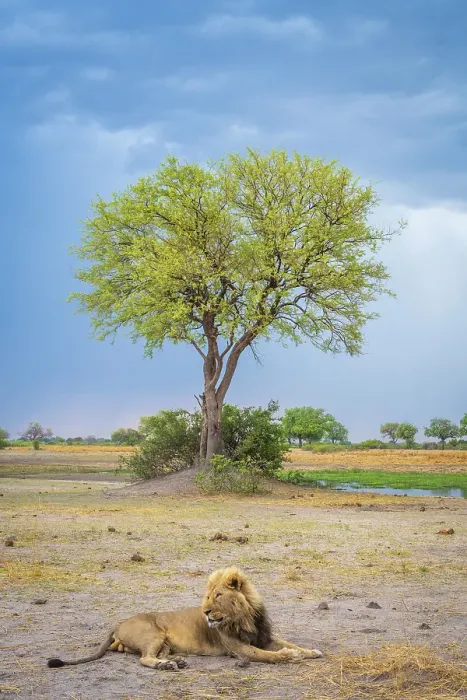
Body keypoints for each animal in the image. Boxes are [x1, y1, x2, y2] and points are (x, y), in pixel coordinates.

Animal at [47, 566, 322, 670]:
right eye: (207, 597)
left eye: (218, 596)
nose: (206, 612)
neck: (243, 617)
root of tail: (118, 623)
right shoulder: (239, 649)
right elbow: (266, 655)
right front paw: (289, 657)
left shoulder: (264, 637)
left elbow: (290, 643)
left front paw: (311, 651)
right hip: (153, 633)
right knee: (145, 659)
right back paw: (165, 666)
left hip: (162, 642)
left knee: (155, 654)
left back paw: (175, 661)